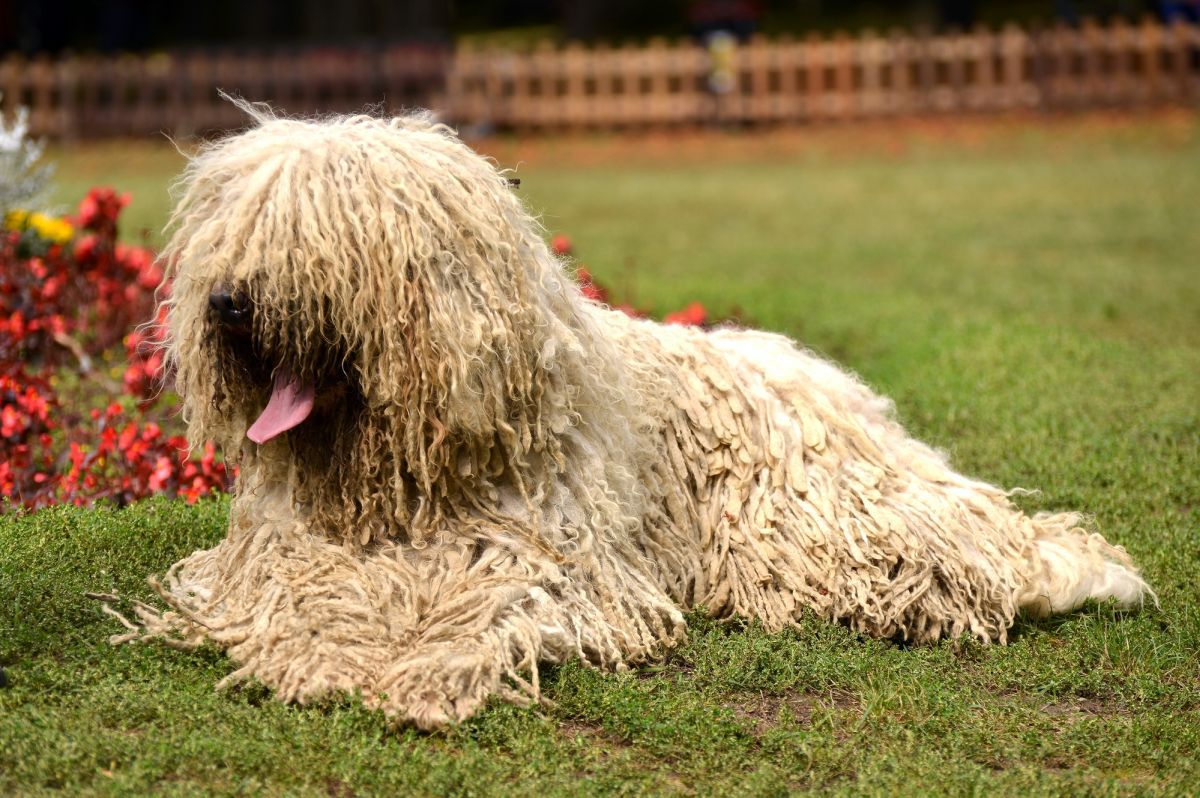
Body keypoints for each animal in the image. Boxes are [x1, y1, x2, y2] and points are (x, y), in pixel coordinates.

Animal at [108, 104, 1147, 729]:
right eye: (233, 231)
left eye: (320, 234)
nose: (228, 301)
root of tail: (844, 398)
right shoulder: (290, 553)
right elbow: (303, 598)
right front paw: (325, 651)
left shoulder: (546, 564)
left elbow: (490, 610)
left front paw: (419, 669)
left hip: (821, 527)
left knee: (974, 553)